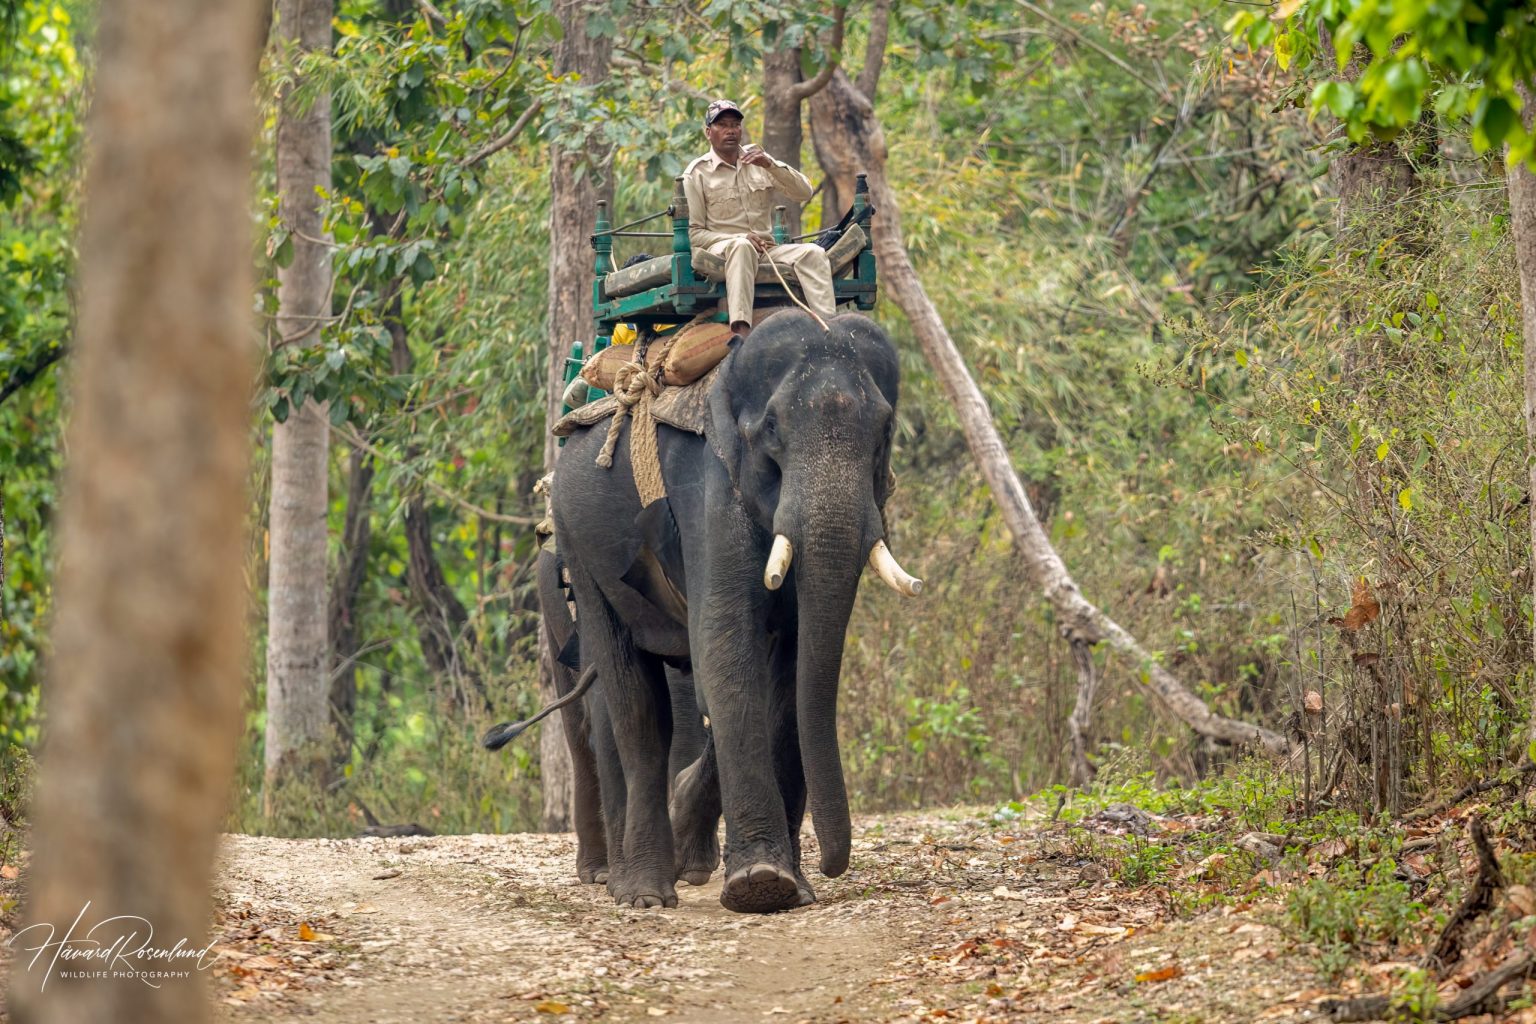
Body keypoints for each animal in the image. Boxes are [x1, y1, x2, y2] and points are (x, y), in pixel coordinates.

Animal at [549, 308, 917, 914]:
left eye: (885, 432)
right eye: (771, 432)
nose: (833, 865)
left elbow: (790, 672)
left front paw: (792, 889)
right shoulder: (709, 487)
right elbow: (725, 646)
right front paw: (759, 885)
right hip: (577, 543)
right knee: (635, 705)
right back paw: (640, 892)